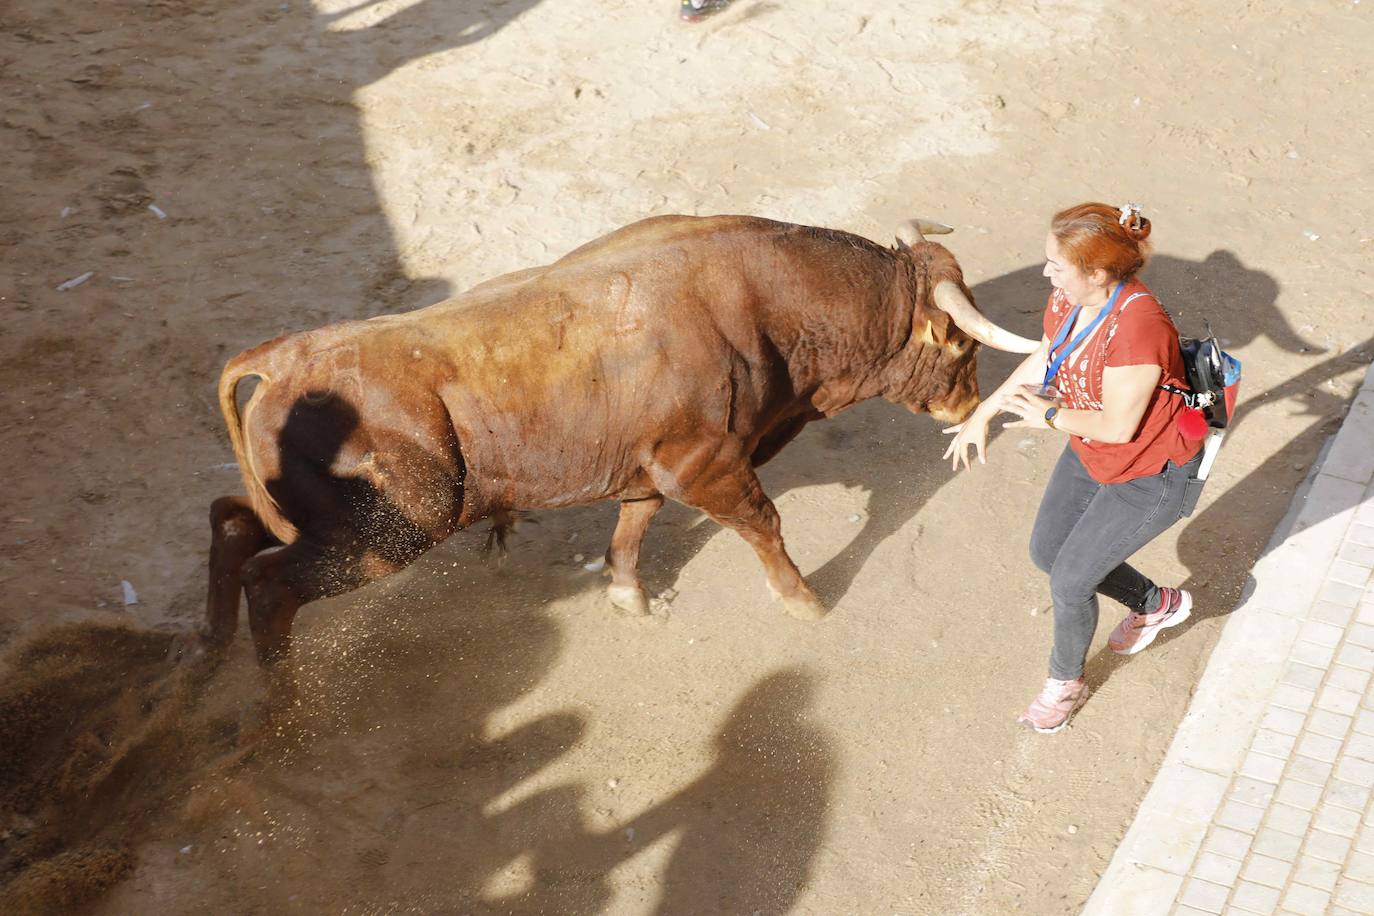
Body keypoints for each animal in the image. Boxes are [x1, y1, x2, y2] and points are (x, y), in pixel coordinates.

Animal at [203, 215, 1033, 683]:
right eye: (961, 345)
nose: (967, 405)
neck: (771, 303)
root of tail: (285, 359)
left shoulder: (656, 463)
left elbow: (634, 524)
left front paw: (628, 595)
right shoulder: (710, 463)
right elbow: (763, 525)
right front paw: (805, 602)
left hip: (325, 521)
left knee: (234, 521)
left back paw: (217, 652)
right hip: (388, 531)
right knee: (270, 583)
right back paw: (282, 702)